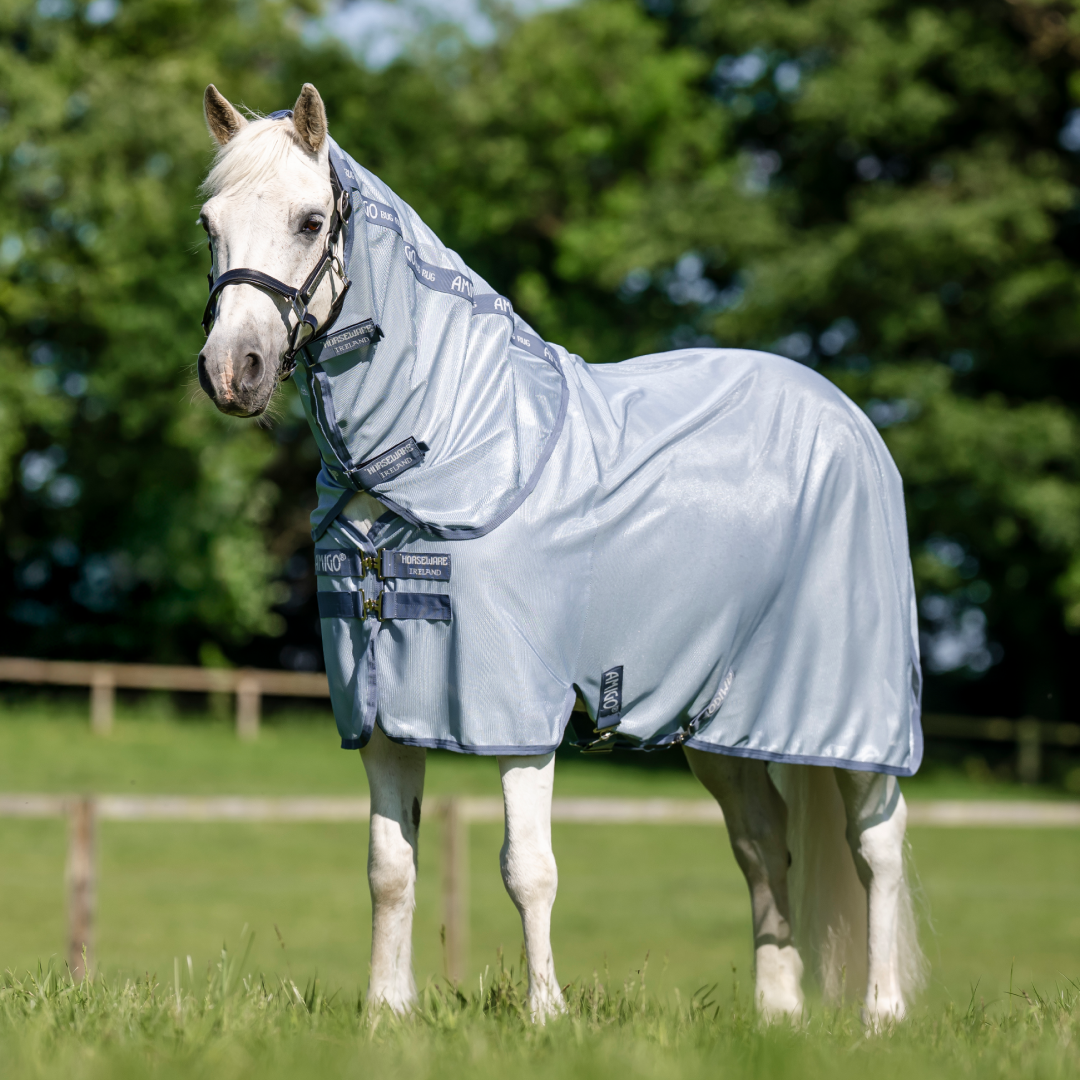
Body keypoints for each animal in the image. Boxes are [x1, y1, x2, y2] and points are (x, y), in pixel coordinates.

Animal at [195, 82, 926, 1024]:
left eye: (310, 219)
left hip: (855, 713)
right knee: (764, 843)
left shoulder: (516, 712)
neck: (457, 443)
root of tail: (851, 420)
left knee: (878, 844)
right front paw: (386, 1012)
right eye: (209, 223)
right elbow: (390, 870)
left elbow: (527, 870)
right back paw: (777, 1015)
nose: (232, 371)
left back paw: (881, 1013)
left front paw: (546, 1014)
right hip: (720, 723)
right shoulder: (382, 710)